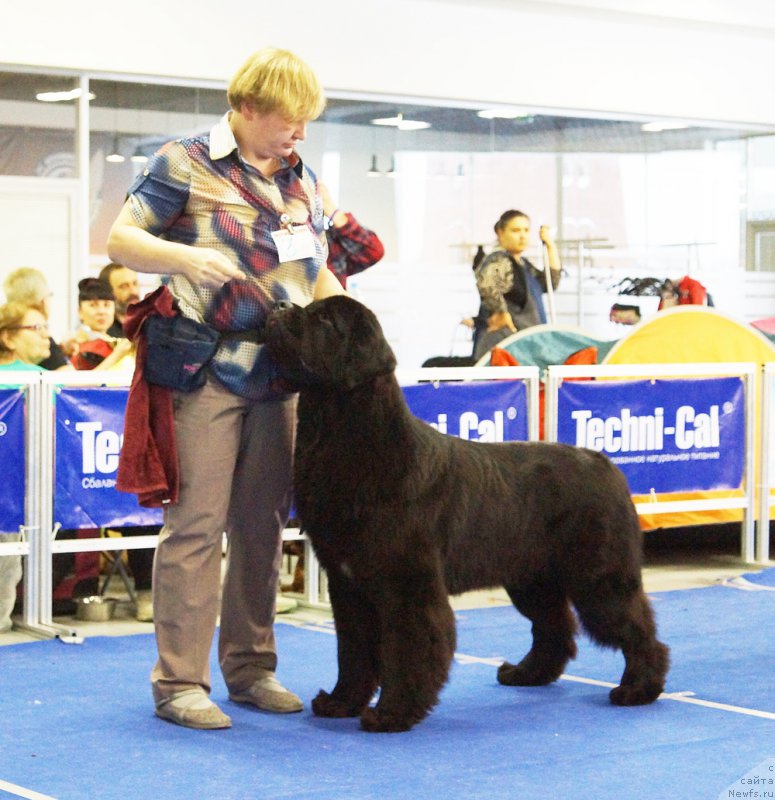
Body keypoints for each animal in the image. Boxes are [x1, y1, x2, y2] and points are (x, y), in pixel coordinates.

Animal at [264, 294, 668, 732]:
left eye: (323, 319)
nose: (280, 304)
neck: (352, 442)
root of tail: (604, 462)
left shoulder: (406, 584)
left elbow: (406, 649)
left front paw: (392, 713)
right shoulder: (347, 584)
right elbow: (353, 651)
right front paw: (341, 703)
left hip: (598, 578)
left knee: (637, 628)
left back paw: (637, 690)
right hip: (531, 578)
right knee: (554, 627)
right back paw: (526, 674)